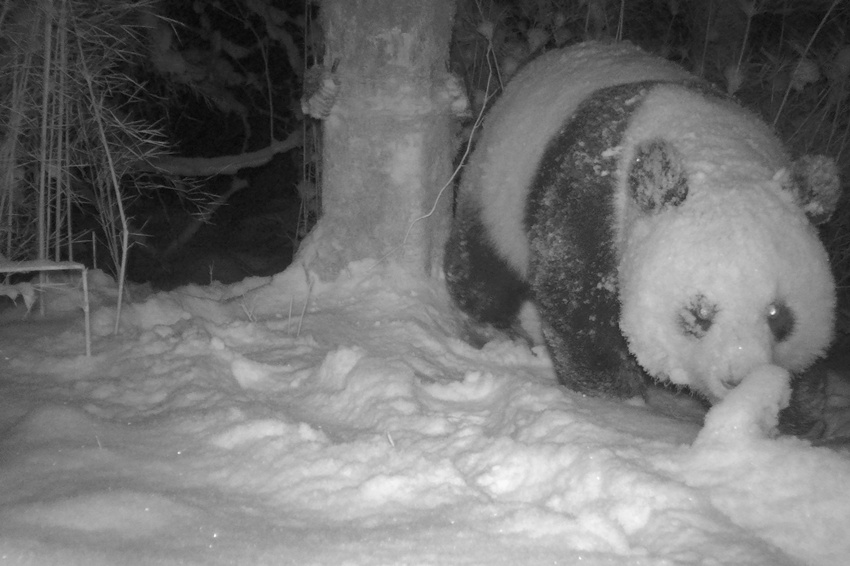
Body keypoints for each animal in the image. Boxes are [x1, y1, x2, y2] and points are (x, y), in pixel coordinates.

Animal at [444, 42, 840, 424]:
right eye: (698, 313)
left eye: (778, 315)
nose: (737, 380)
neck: (716, 154)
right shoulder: (592, 199)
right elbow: (576, 300)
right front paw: (618, 402)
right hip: (499, 182)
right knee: (483, 264)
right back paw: (492, 328)